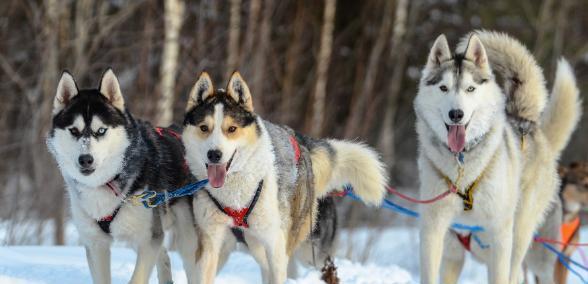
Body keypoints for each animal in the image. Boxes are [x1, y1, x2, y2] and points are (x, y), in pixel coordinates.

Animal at [47, 69, 199, 284]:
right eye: (74, 131)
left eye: (101, 130)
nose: (85, 159)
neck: (106, 183)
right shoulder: (96, 244)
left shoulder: (147, 239)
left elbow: (136, 279)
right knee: (164, 256)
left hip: (187, 238)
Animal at [181, 72, 388, 282]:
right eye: (204, 128)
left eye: (231, 129)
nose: (214, 154)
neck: (235, 198)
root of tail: (301, 143)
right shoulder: (210, 243)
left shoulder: (275, 245)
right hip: (251, 247)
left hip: (307, 250)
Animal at [416, 30, 580, 282]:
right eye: (443, 88)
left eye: (470, 89)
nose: (456, 114)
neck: (462, 164)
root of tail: (526, 122)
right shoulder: (436, 233)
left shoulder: (500, 233)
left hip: (522, 237)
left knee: (516, 272)